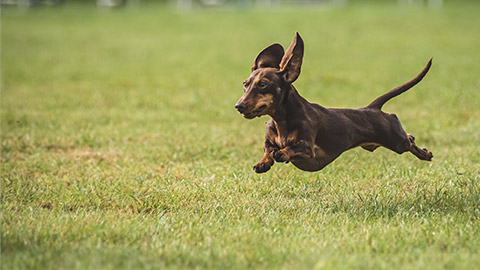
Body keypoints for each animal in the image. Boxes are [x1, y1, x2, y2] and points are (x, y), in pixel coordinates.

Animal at [234, 32, 434, 173]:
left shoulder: (308, 148)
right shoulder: (269, 141)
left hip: (397, 141)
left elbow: (290, 149)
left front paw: (282, 153)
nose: (238, 106)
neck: (281, 120)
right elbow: (268, 150)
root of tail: (372, 108)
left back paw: (425, 154)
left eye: (263, 84)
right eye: (245, 83)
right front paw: (263, 163)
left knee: (409, 139)